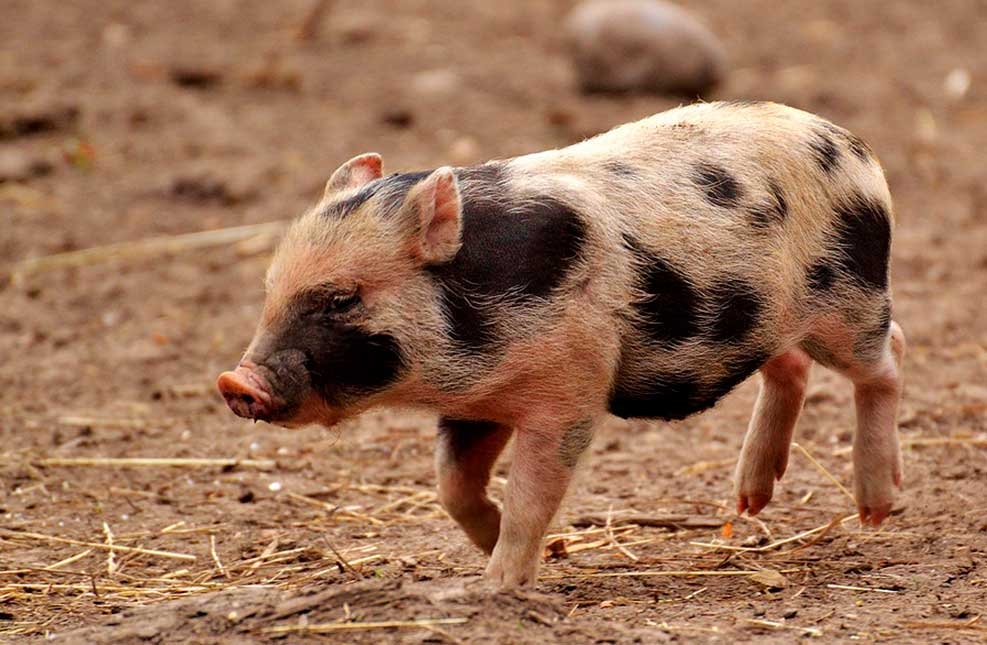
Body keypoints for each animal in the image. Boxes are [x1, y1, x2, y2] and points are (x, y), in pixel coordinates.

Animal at [217, 100, 905, 588]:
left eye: (343, 299)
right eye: (270, 289)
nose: (235, 383)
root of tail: (856, 148)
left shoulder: (570, 395)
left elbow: (531, 493)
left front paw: (497, 587)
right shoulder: (477, 402)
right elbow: (452, 486)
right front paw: (552, 551)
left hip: (851, 300)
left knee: (889, 356)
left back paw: (875, 512)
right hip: (770, 320)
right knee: (790, 365)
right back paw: (749, 501)